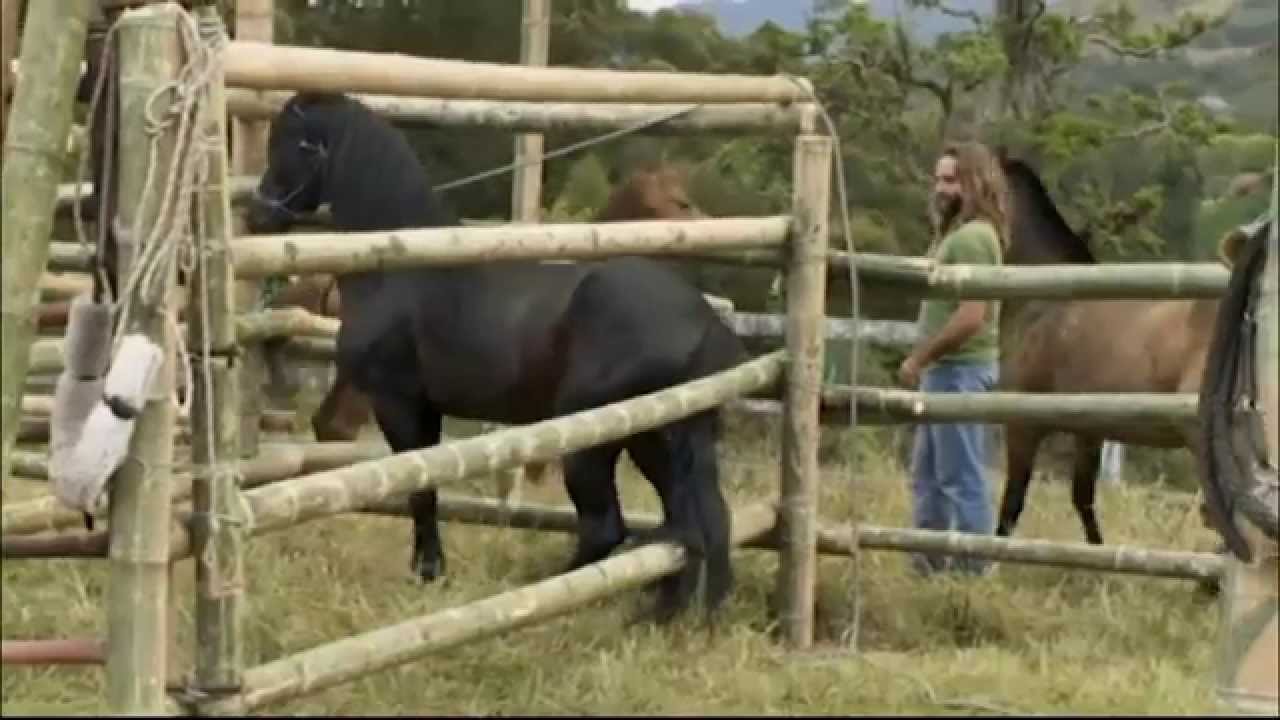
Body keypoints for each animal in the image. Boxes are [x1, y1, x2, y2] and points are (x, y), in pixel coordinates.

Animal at [244, 91, 746, 624]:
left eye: (290, 143)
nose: (257, 214)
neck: (403, 266)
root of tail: (705, 320)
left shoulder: (398, 402)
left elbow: (420, 489)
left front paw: (428, 572)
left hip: (595, 441)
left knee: (610, 526)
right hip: (659, 438)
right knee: (694, 524)